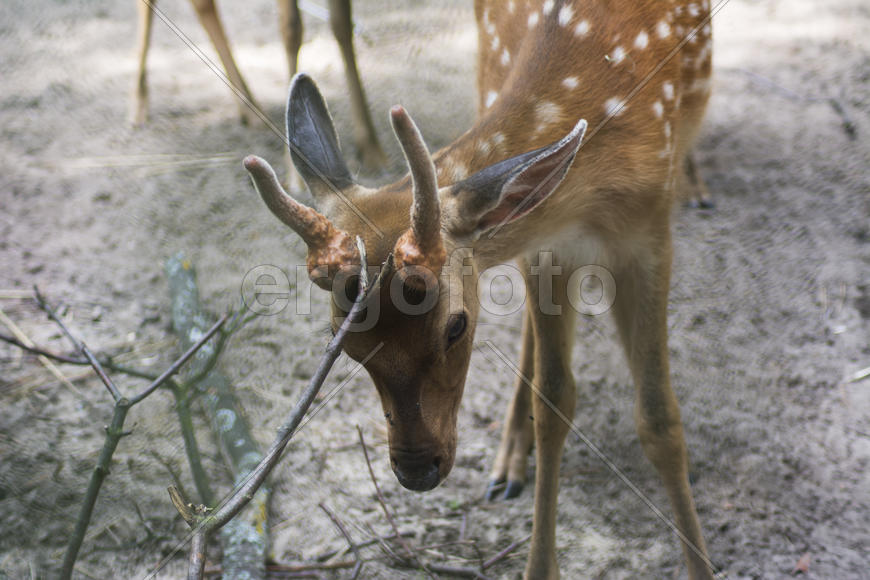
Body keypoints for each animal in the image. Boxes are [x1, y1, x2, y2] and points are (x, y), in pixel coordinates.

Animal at [131, 0, 386, 173]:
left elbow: (342, 24)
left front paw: (372, 148)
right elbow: (291, 29)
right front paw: (294, 170)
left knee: (202, 4)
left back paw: (249, 110)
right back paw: (138, 104)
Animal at [243, 0, 716, 577]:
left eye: (456, 327)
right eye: (346, 343)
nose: (417, 470)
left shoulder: (649, 235)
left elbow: (659, 420)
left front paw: (701, 563)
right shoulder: (547, 244)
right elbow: (553, 401)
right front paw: (539, 559)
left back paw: (697, 181)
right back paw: (508, 461)